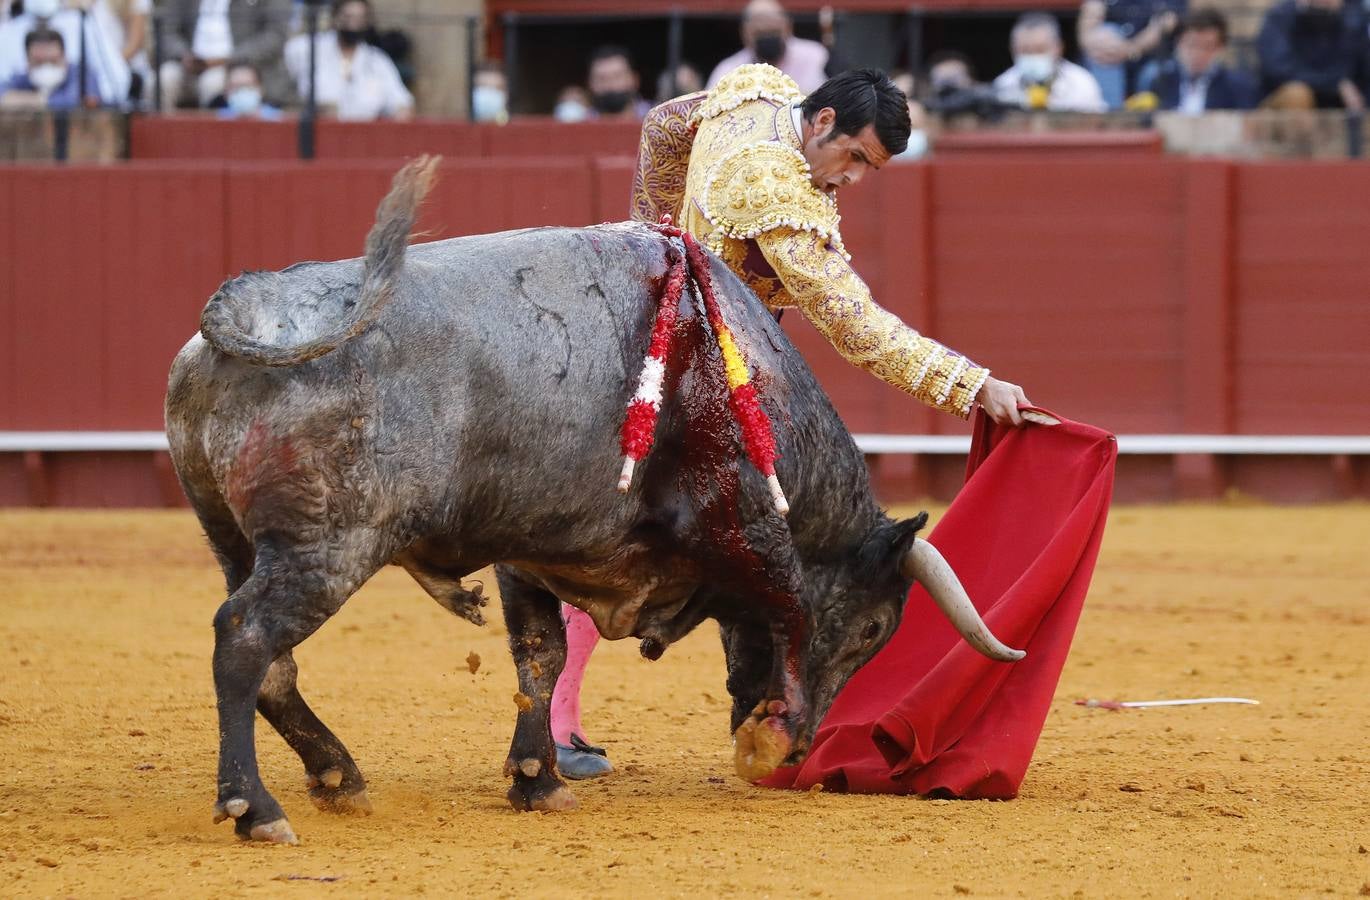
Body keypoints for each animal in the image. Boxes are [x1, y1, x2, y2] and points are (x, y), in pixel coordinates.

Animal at [165, 156, 1019, 843]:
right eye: (875, 626)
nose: (805, 754)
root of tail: (237, 318)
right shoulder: (751, 525)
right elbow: (793, 611)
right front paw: (766, 743)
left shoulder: (530, 550)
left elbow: (539, 656)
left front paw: (538, 781)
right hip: (331, 546)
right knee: (245, 638)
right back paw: (256, 808)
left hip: (236, 541)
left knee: (272, 662)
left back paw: (339, 777)